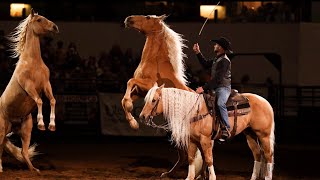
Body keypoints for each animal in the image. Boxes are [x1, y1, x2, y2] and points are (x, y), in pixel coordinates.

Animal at [0, 8, 58, 173]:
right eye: (39, 20)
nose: (55, 27)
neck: (33, 62)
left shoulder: (46, 85)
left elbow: (52, 100)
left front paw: (51, 125)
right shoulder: (28, 86)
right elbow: (39, 101)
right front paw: (41, 123)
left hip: (25, 130)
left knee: (23, 152)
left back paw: (34, 170)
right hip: (1, 129)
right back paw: (0, 168)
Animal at [124, 14, 204, 178]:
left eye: (148, 17)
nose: (128, 19)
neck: (154, 61)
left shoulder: (149, 85)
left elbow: (130, 81)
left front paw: (133, 121)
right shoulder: (140, 92)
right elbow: (124, 99)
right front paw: (133, 122)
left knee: (189, 155)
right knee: (184, 155)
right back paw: (167, 173)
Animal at [140, 84, 276, 180]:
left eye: (153, 100)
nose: (142, 116)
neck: (195, 111)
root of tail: (266, 102)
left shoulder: (205, 140)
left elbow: (209, 159)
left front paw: (212, 177)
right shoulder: (192, 140)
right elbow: (191, 158)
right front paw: (190, 177)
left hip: (264, 135)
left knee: (268, 154)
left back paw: (267, 177)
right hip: (250, 134)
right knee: (257, 154)